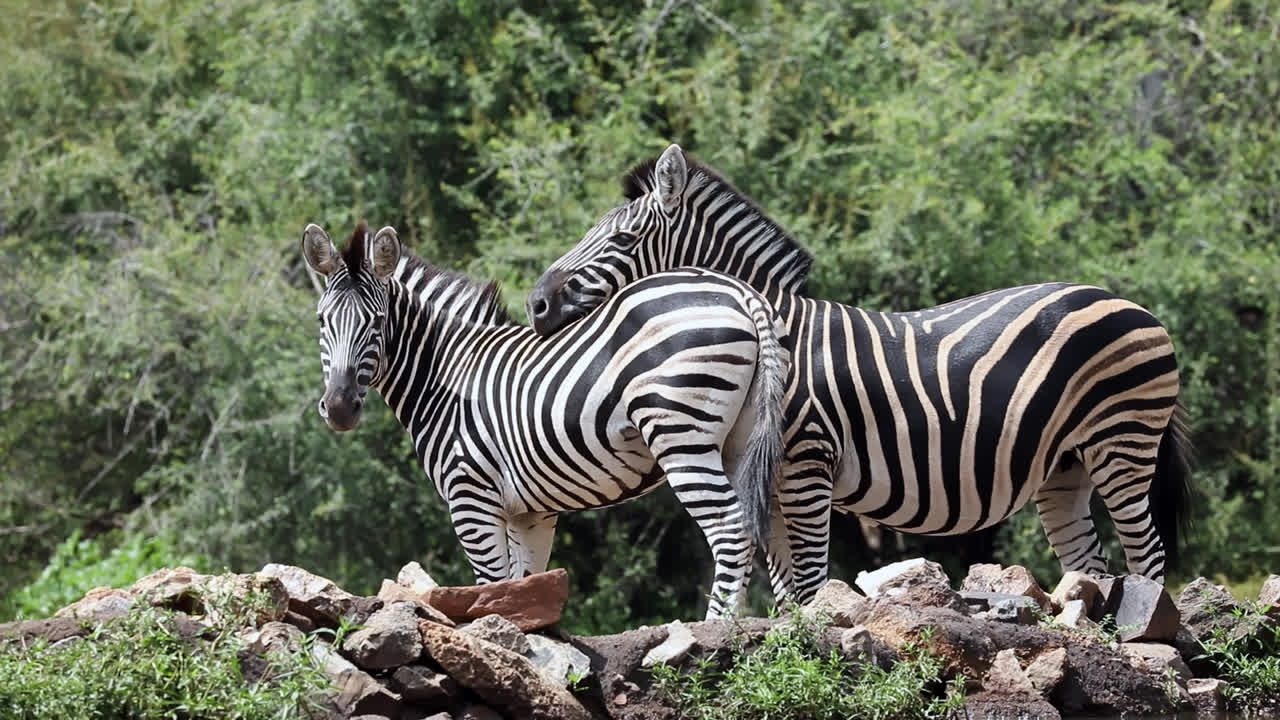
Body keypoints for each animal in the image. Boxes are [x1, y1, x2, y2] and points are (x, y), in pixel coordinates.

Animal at [301, 221, 788, 618]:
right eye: (322, 321)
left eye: (378, 321)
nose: (340, 407)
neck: (448, 373)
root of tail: (740, 292)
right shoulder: (529, 512)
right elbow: (522, 586)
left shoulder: (471, 496)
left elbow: (491, 585)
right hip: (740, 441)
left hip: (680, 433)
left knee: (730, 528)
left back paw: (716, 631)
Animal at [526, 143, 1193, 604]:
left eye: (622, 238)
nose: (534, 303)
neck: (774, 326)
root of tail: (1132, 304)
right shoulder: (771, 481)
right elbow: (786, 590)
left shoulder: (808, 469)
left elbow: (811, 582)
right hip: (1066, 467)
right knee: (1092, 565)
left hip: (1122, 443)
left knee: (1148, 555)